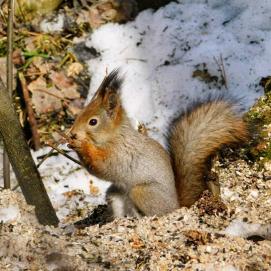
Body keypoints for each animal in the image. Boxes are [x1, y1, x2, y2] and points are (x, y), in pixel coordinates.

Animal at [67, 70, 249, 221]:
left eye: (93, 122)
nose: (72, 133)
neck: (115, 136)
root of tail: (177, 206)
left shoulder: (121, 154)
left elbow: (103, 167)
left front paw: (81, 145)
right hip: (116, 194)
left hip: (141, 192)